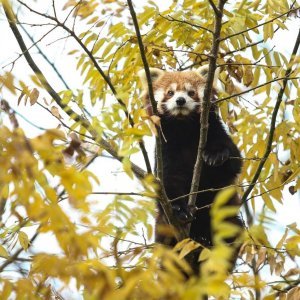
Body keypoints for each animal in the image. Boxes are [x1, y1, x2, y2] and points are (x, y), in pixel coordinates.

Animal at [139, 66, 243, 272]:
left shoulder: (215, 131)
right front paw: (180, 209)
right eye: (170, 92)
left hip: (225, 217)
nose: (180, 100)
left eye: (191, 92)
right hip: (163, 227)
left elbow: (233, 163)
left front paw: (215, 155)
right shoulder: (165, 151)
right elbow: (169, 182)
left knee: (231, 230)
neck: (184, 128)